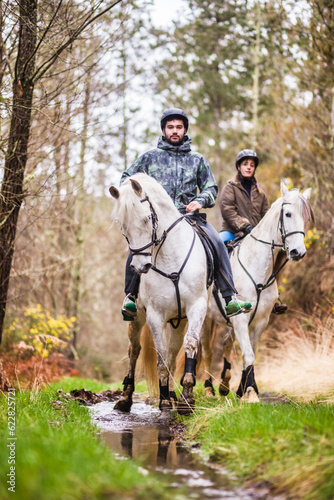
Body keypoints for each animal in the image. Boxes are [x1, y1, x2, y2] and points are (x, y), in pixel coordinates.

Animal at [109, 174, 209, 416]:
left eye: (147, 219)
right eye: (122, 226)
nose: (140, 266)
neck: (170, 256)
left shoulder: (196, 307)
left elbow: (189, 346)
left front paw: (186, 398)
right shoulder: (155, 316)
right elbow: (161, 358)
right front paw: (164, 402)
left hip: (180, 321)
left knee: (173, 353)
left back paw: (173, 394)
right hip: (137, 317)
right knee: (134, 350)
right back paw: (126, 398)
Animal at [200, 182, 314, 404]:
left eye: (305, 217)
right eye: (288, 214)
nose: (298, 252)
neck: (257, 270)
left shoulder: (260, 321)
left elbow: (249, 353)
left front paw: (244, 390)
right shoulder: (241, 319)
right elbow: (249, 354)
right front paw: (251, 393)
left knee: (226, 345)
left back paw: (225, 385)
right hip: (206, 321)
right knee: (207, 352)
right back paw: (208, 389)